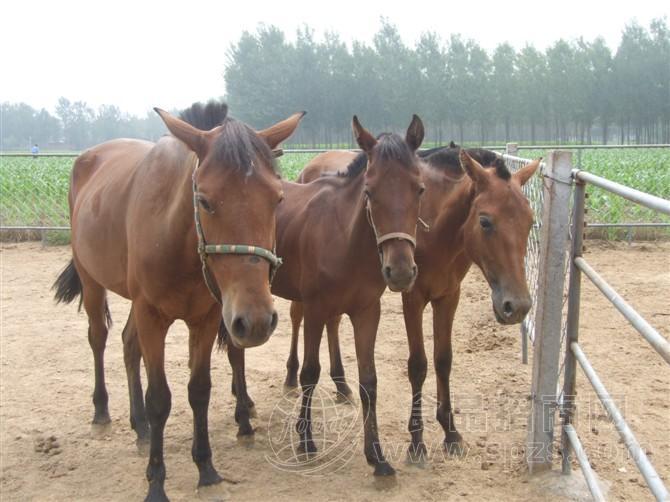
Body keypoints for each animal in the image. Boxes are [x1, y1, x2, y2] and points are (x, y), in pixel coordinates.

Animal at [52, 101, 304, 501]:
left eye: (278, 199)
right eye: (204, 200)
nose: (257, 321)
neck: (177, 240)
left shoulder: (208, 317)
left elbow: (198, 390)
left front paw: (206, 468)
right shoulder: (152, 315)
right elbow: (160, 398)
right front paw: (156, 481)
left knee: (128, 345)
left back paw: (139, 427)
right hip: (92, 282)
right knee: (99, 338)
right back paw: (102, 412)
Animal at [226, 115, 426, 477]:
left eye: (419, 188)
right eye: (369, 191)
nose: (401, 271)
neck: (344, 237)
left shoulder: (366, 311)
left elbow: (369, 381)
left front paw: (377, 456)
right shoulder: (317, 309)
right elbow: (309, 373)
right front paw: (305, 440)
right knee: (235, 351)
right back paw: (243, 412)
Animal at [283, 145, 540, 460]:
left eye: (530, 221)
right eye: (485, 221)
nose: (517, 306)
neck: (437, 224)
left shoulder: (448, 296)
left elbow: (443, 360)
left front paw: (450, 431)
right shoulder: (413, 297)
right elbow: (418, 365)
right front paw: (416, 441)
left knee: (333, 321)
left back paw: (341, 384)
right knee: (298, 316)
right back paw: (291, 376)